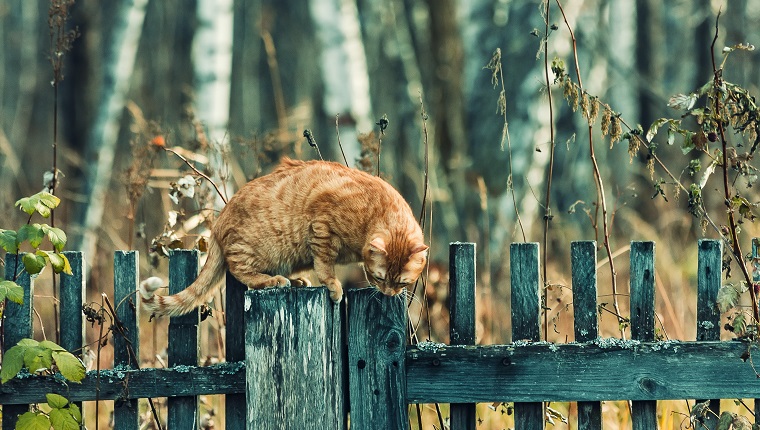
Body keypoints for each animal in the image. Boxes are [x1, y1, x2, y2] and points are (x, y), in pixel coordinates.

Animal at [140, 156, 428, 318]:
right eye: (379, 278)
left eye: (402, 283)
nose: (389, 293)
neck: (373, 214)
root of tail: (220, 222)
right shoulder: (322, 229)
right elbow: (325, 267)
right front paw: (333, 286)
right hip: (256, 250)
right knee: (240, 271)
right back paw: (273, 281)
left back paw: (296, 281)